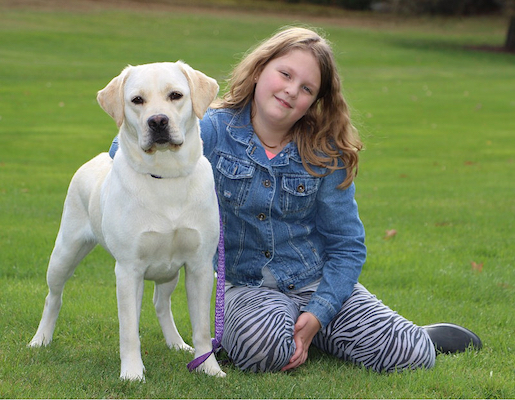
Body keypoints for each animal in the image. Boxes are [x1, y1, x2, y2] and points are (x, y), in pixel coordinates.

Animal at [29, 61, 225, 380]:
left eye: (176, 95)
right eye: (137, 100)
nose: (157, 121)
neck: (165, 176)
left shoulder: (199, 266)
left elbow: (202, 327)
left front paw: (208, 368)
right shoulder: (128, 269)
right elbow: (129, 329)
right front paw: (132, 374)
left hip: (169, 270)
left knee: (161, 303)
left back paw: (176, 343)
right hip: (65, 251)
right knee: (53, 297)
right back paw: (40, 340)